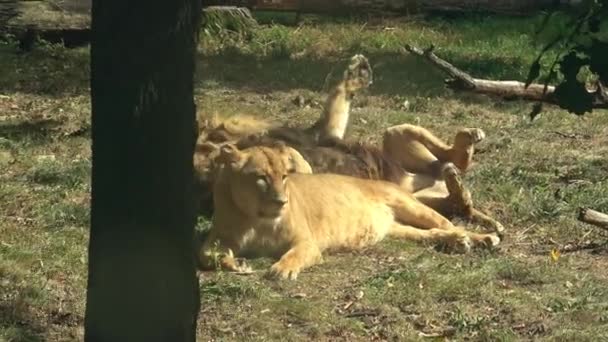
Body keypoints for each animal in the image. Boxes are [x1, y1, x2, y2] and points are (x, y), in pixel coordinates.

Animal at [200, 143, 498, 280]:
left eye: (284, 176)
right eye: (261, 178)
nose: (281, 201)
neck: (257, 220)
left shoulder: (307, 243)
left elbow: (294, 255)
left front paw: (281, 270)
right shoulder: (216, 240)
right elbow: (207, 256)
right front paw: (237, 264)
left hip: (410, 205)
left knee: (450, 224)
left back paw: (480, 239)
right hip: (398, 230)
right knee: (432, 233)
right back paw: (457, 242)